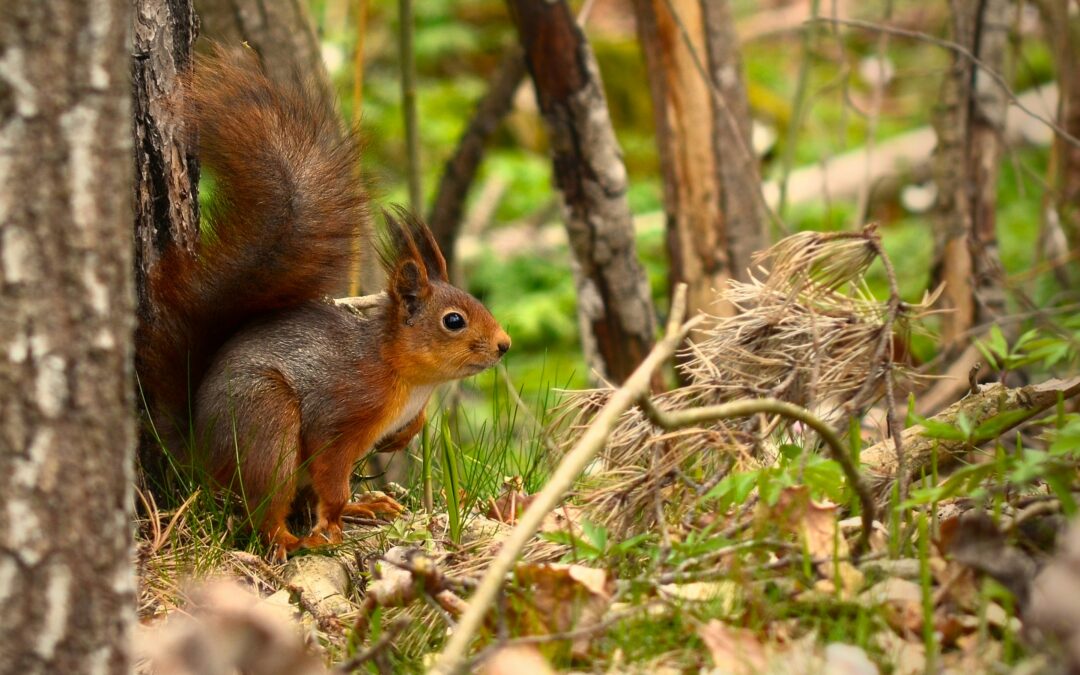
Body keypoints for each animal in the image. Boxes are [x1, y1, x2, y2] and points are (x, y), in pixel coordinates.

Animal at [137, 45, 511, 560]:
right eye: (453, 321)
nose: (504, 345)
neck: (407, 377)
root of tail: (197, 450)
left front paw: (400, 439)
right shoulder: (341, 412)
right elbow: (331, 470)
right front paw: (331, 522)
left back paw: (365, 507)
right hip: (266, 422)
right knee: (264, 507)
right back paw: (294, 538)